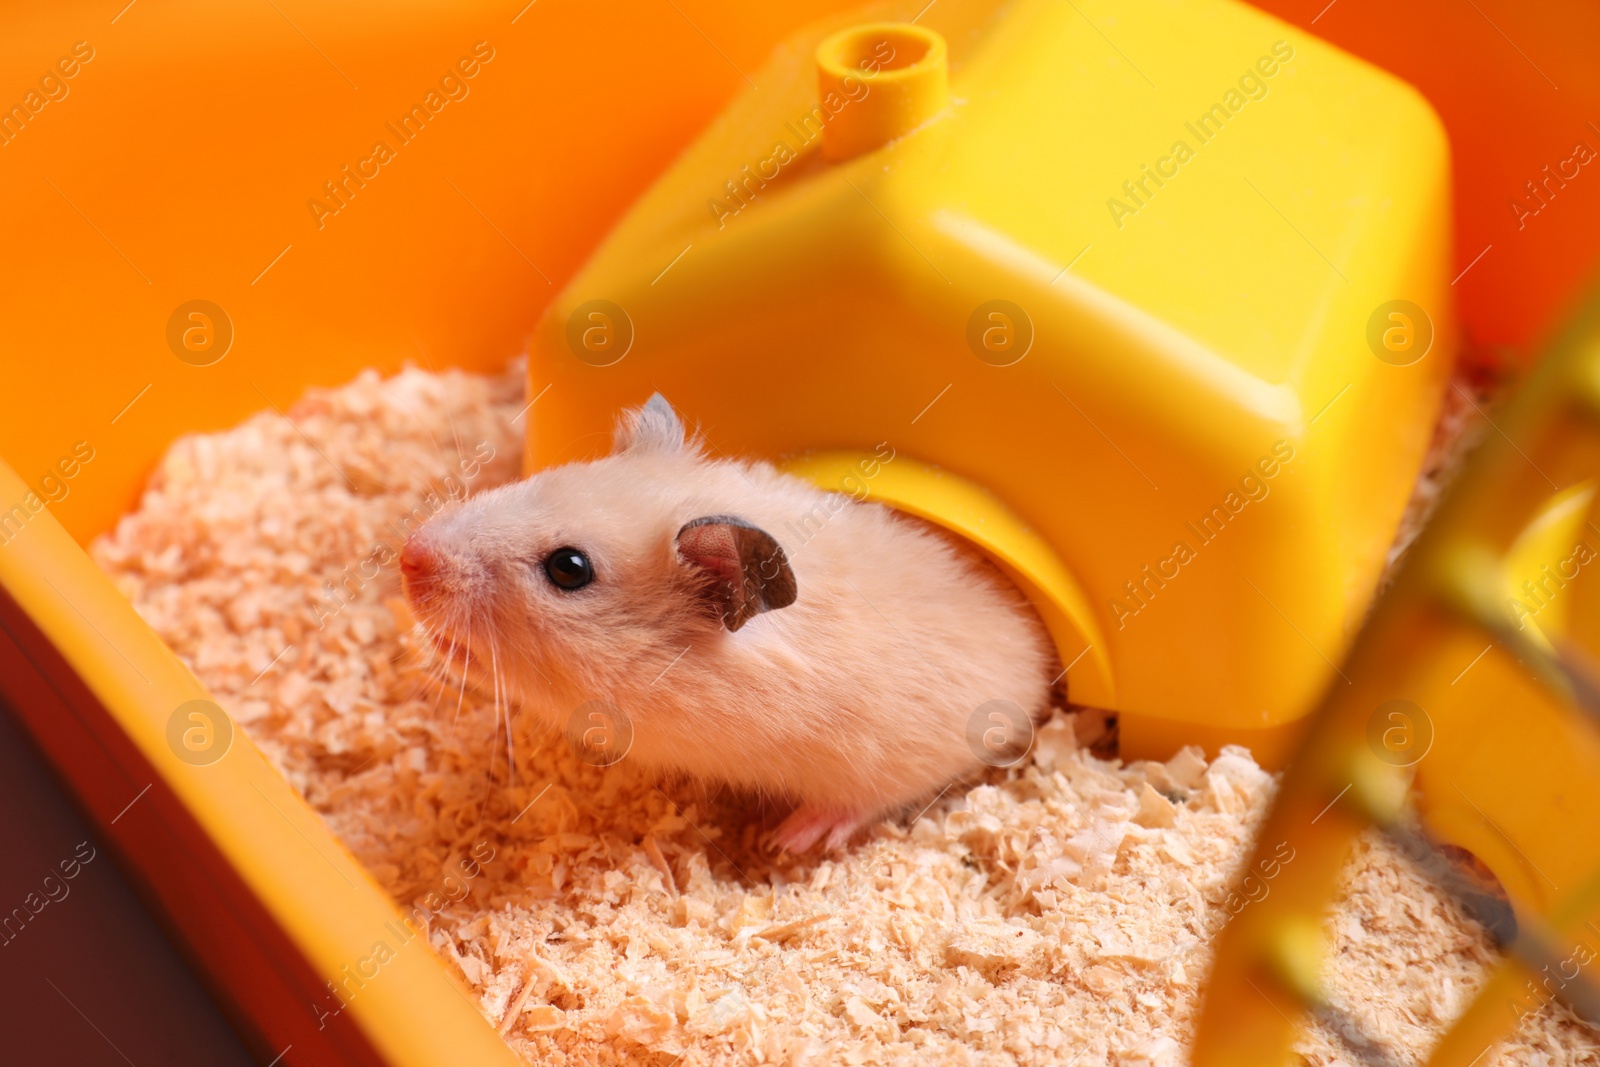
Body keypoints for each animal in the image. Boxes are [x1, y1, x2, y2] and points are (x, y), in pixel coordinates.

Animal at [400, 391, 1056, 851]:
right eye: (541, 478)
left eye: (569, 568)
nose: (409, 557)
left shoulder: (895, 754)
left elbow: (866, 799)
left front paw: (785, 841)